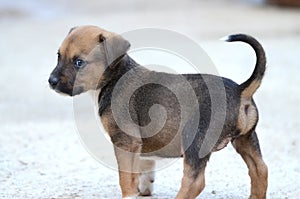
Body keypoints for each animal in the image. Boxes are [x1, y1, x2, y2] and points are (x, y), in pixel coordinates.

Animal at [48, 25, 268, 199]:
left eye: (79, 62)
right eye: (58, 56)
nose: (51, 82)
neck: (114, 77)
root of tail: (240, 90)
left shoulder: (124, 142)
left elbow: (126, 179)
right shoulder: (139, 148)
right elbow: (143, 171)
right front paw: (144, 191)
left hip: (195, 143)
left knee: (194, 182)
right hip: (246, 139)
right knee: (260, 171)